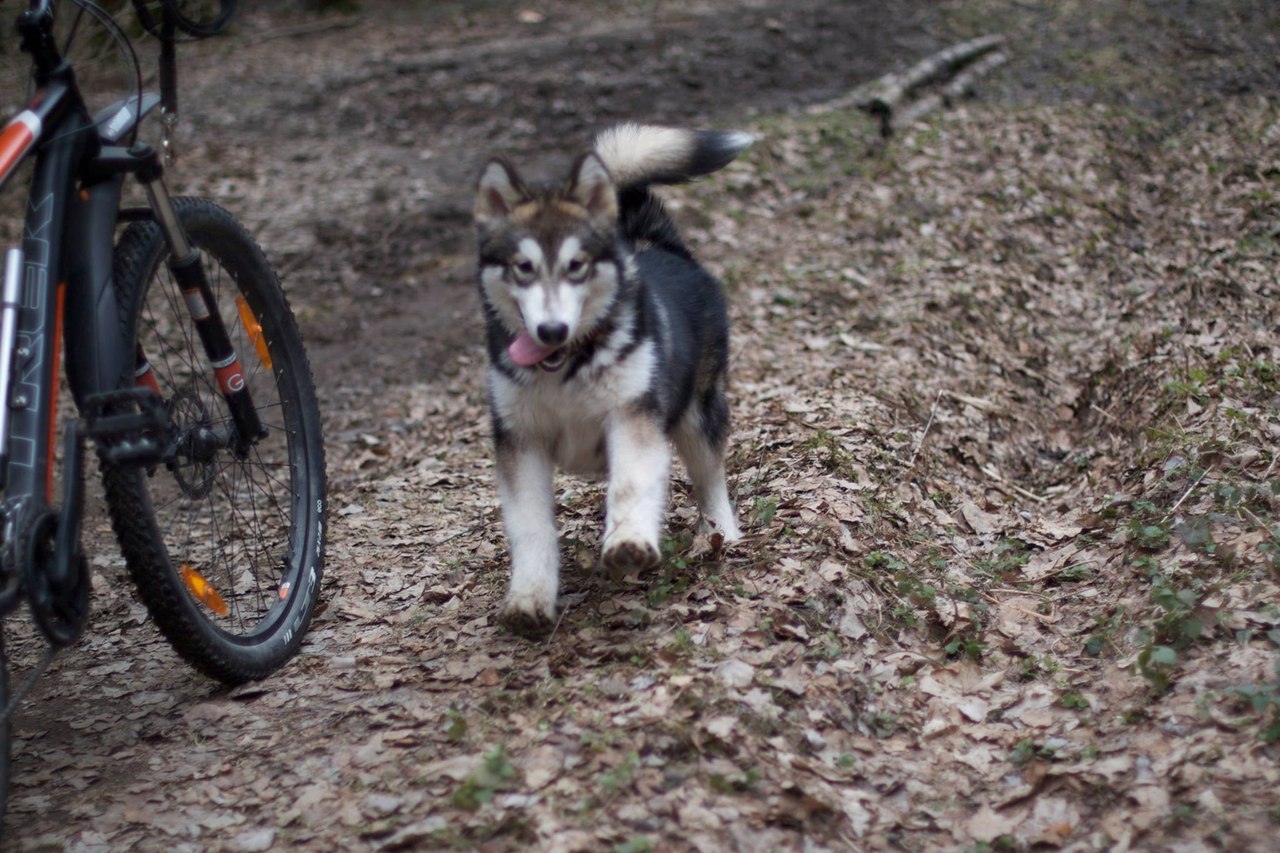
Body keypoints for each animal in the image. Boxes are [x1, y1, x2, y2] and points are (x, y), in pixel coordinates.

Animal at [473, 122, 747, 635]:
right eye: (523, 268)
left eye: (576, 265)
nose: (551, 330)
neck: (569, 368)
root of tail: (662, 248)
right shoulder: (520, 440)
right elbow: (530, 524)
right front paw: (529, 596)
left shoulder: (632, 417)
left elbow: (632, 483)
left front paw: (629, 542)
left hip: (698, 413)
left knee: (709, 477)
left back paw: (721, 531)